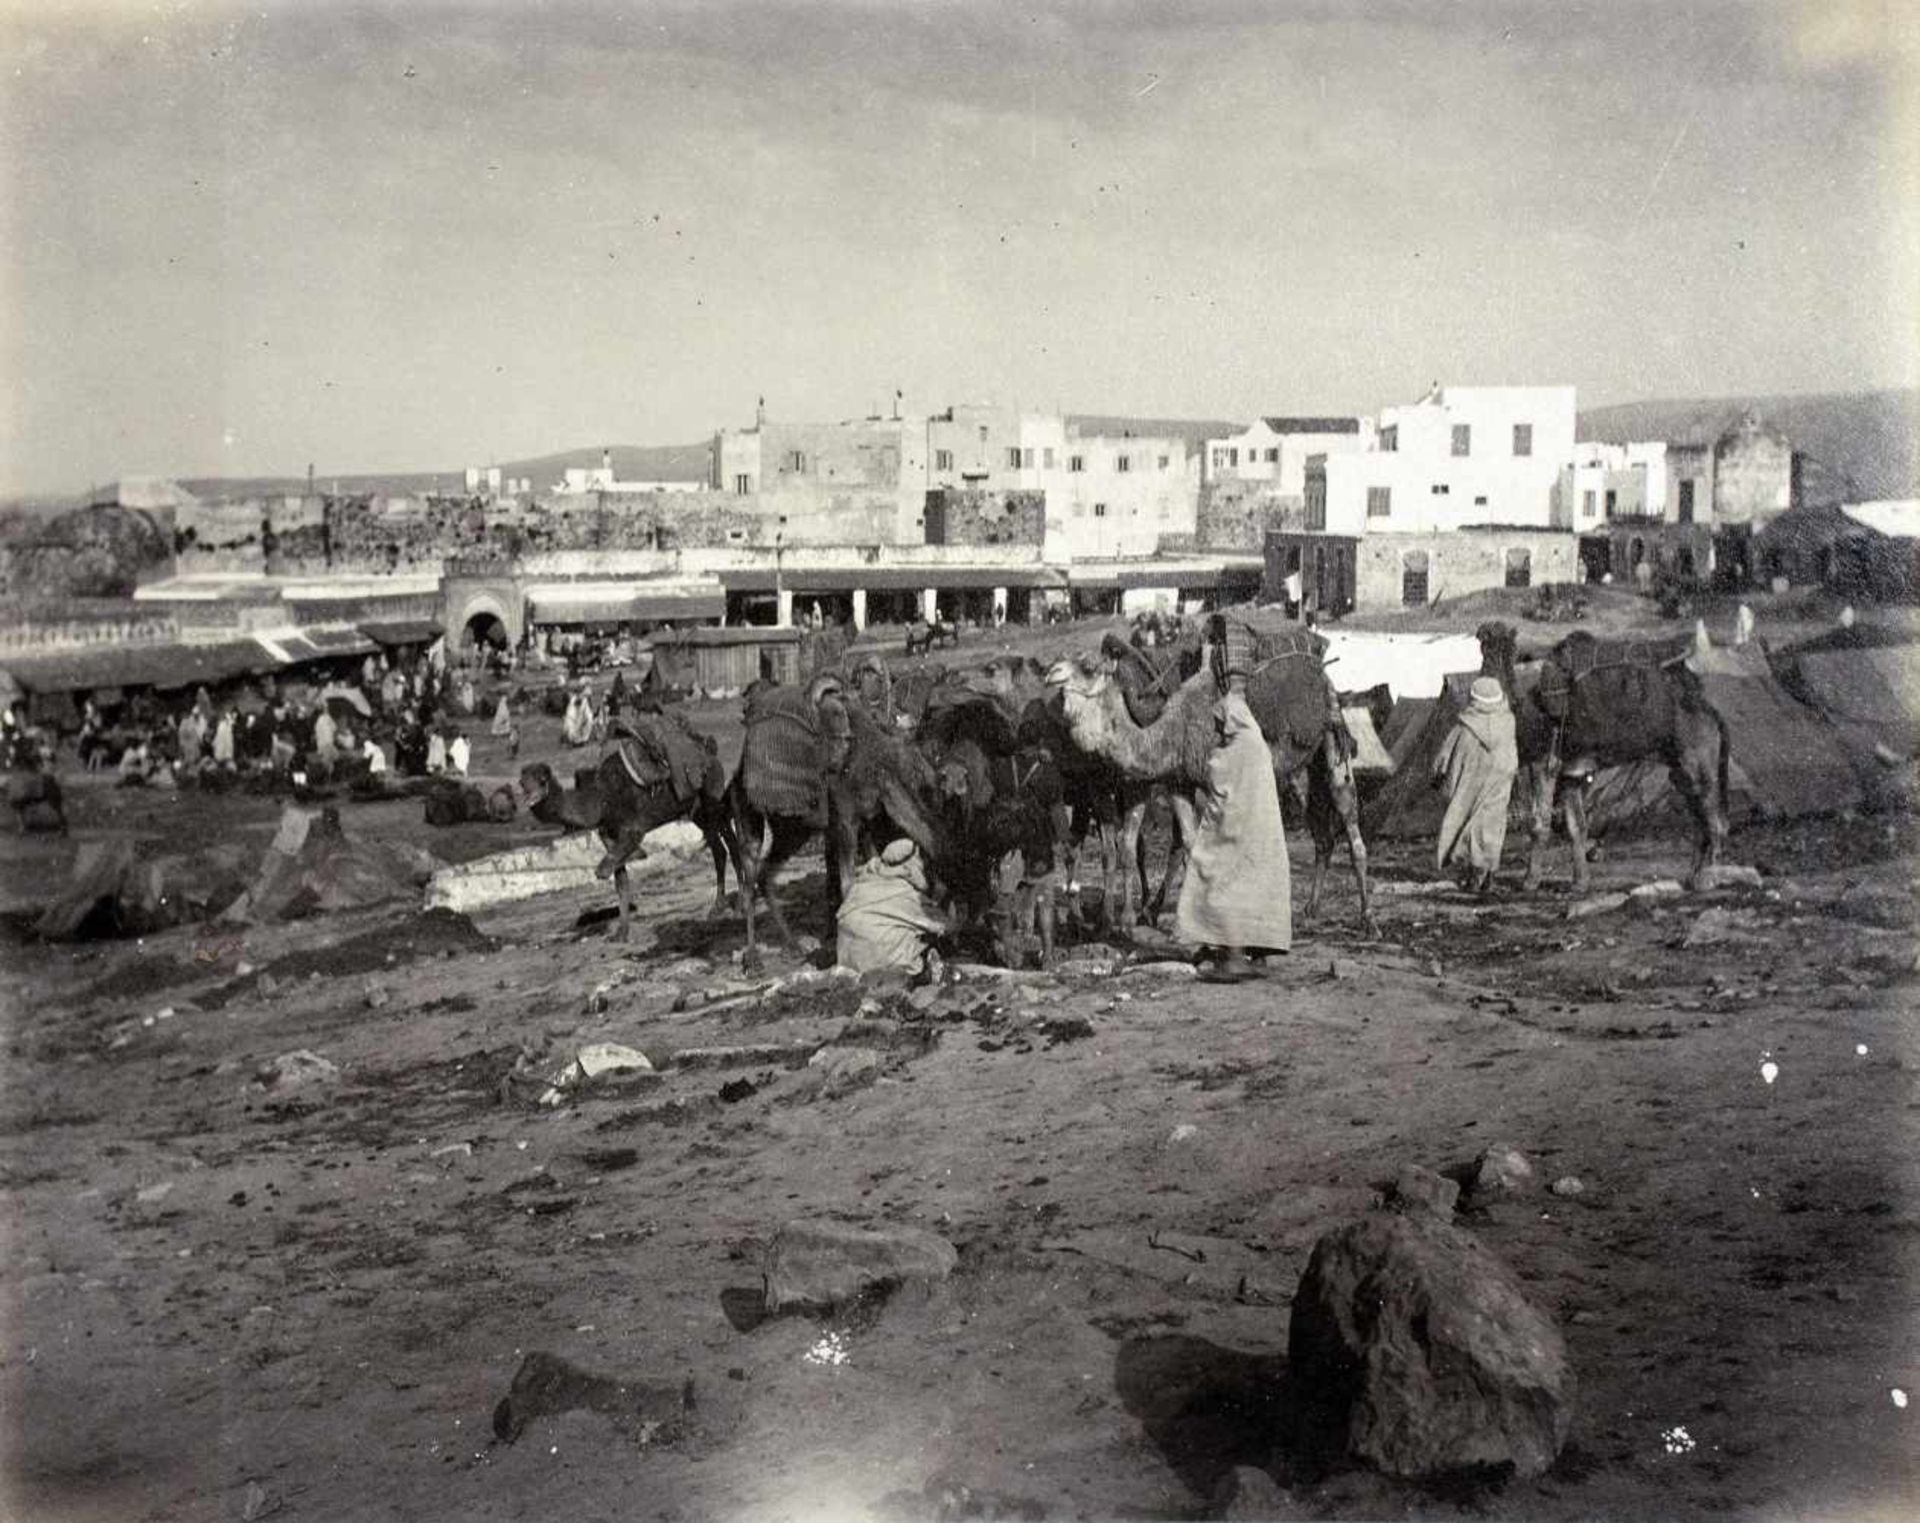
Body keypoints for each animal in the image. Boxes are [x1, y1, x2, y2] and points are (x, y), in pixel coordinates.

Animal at [518, 706, 741, 933]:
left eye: (539, 780)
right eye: (522, 781)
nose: (525, 791)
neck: (601, 799)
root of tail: (710, 754)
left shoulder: (632, 829)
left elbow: (604, 870)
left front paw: (639, 854)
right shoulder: (611, 834)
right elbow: (620, 880)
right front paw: (622, 932)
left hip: (711, 795)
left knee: (728, 844)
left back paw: (735, 903)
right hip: (697, 811)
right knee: (721, 846)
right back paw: (718, 906)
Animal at [729, 676, 948, 952]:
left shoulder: (868, 820)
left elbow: (870, 869)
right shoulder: (846, 820)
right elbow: (848, 882)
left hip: (793, 829)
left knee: (765, 872)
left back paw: (795, 944)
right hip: (749, 811)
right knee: (749, 872)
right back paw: (752, 956)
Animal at [1474, 614, 1735, 883]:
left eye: (1503, 648)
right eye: (1484, 646)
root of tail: (1711, 713)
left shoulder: (1542, 763)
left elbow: (1539, 823)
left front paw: (1530, 881)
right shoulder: (1570, 773)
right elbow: (1576, 826)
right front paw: (1580, 882)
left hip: (1700, 765)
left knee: (1715, 822)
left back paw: (1709, 878)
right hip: (1681, 771)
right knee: (1701, 821)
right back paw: (1694, 876)